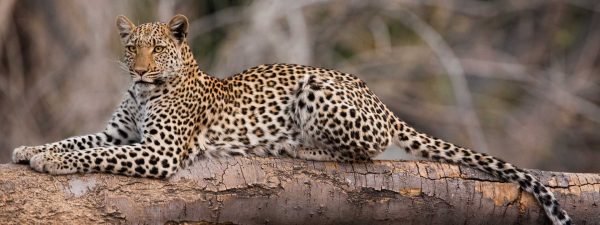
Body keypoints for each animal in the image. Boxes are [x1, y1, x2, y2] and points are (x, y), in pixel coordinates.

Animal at [11, 14, 568, 225]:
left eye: (158, 49)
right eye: (132, 48)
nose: (141, 69)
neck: (146, 91)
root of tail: (383, 101)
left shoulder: (158, 151)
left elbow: (95, 154)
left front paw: (48, 162)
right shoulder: (120, 133)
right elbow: (79, 139)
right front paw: (31, 149)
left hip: (317, 89)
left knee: (365, 152)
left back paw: (300, 147)